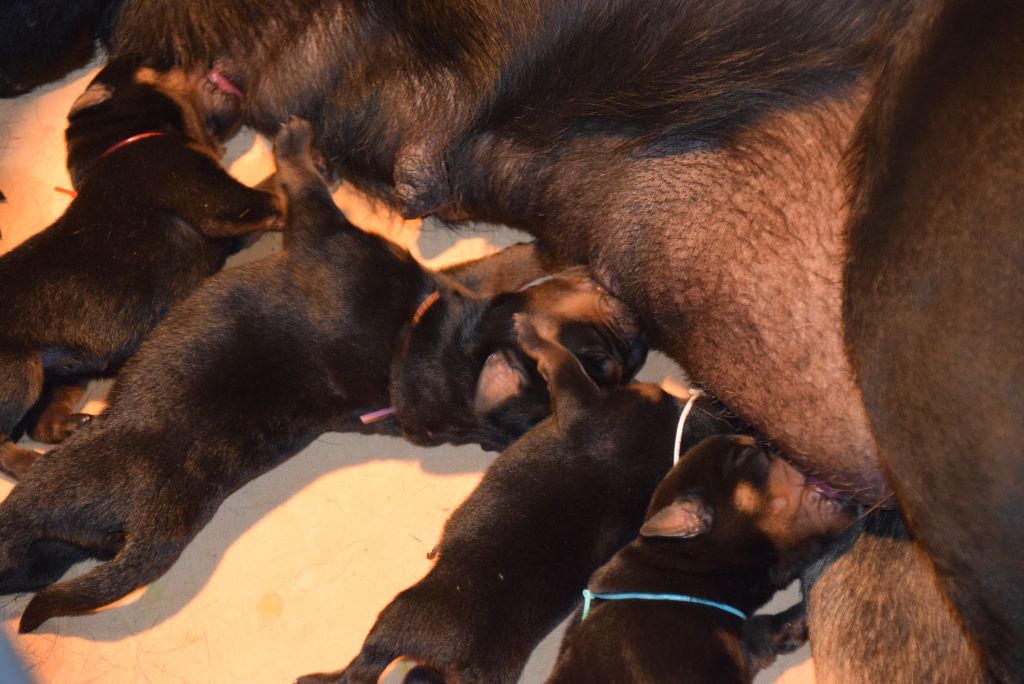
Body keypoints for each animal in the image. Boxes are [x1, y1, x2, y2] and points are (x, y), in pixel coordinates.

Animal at [0, 56, 280, 479]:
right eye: (164, 60)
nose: (215, 57)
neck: (126, 137)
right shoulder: (221, 202)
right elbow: (274, 192)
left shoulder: (230, 230)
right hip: (19, 370)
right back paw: (32, 462)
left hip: (65, 373)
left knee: (41, 423)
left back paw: (72, 427)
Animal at [0, 118, 643, 634]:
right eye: (603, 359)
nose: (639, 334)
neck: (414, 349)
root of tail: (155, 525)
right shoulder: (439, 288)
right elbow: (490, 268)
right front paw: (547, 253)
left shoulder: (325, 232)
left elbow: (301, 185)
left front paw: (293, 139)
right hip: (65, 542)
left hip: (59, 489)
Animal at [299, 315, 741, 684]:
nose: (642, 331)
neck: (681, 435)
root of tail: (460, 663)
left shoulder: (580, 397)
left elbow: (559, 358)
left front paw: (530, 332)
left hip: (398, 617)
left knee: (364, 666)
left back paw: (316, 677)